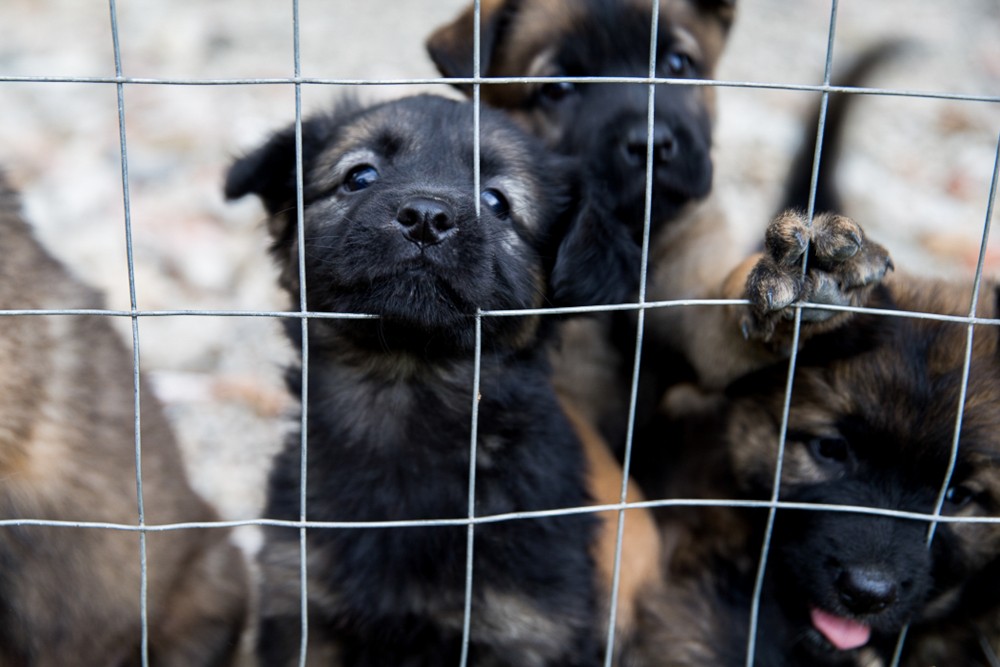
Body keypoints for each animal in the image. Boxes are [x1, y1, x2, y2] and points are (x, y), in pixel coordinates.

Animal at [227, 95, 664, 667]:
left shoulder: (527, 631)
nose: (426, 218)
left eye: (497, 201)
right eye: (360, 175)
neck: (408, 392)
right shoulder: (302, 607)